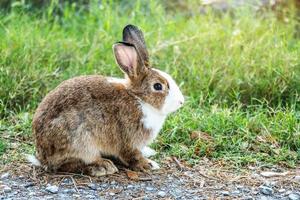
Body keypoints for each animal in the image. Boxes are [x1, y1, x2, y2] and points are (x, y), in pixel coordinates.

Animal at [27, 24, 184, 176]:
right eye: (158, 86)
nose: (181, 101)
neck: (139, 99)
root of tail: (42, 156)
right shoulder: (127, 140)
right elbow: (132, 156)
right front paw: (148, 164)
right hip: (80, 141)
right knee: (66, 165)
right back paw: (101, 167)